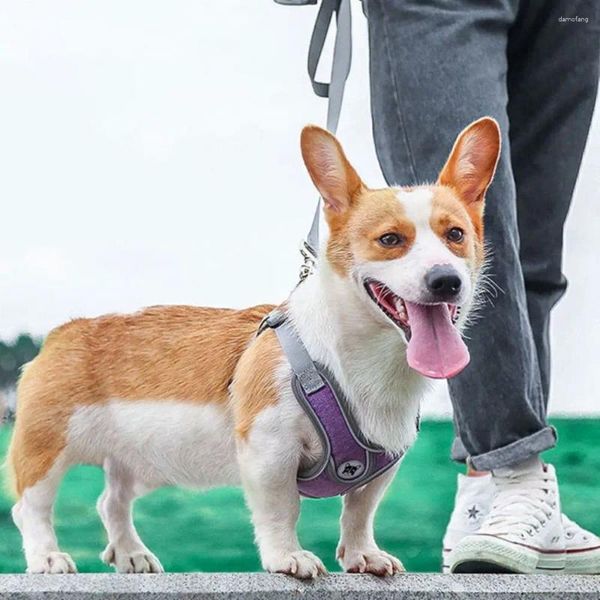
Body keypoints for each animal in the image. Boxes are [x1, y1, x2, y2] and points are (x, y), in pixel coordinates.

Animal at [7, 115, 500, 580]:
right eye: (390, 240)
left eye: (456, 235)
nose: (446, 281)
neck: (364, 359)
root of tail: (63, 331)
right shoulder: (270, 447)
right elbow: (282, 509)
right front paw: (288, 558)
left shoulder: (384, 461)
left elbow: (360, 511)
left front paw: (364, 556)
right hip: (46, 445)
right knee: (31, 505)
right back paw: (48, 556)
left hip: (140, 460)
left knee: (113, 501)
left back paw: (131, 554)